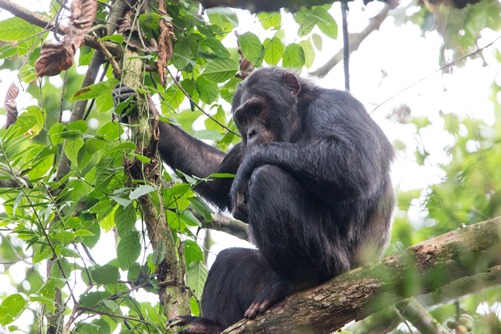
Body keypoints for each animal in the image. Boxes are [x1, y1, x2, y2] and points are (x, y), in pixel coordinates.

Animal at [113, 66, 394, 332]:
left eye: (257, 109)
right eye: (243, 117)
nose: (251, 132)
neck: (296, 120)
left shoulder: (337, 106)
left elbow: (351, 161)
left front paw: (249, 164)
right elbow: (215, 174)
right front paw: (138, 106)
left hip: (336, 264)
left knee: (268, 177)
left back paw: (298, 280)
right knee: (229, 259)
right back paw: (210, 325)